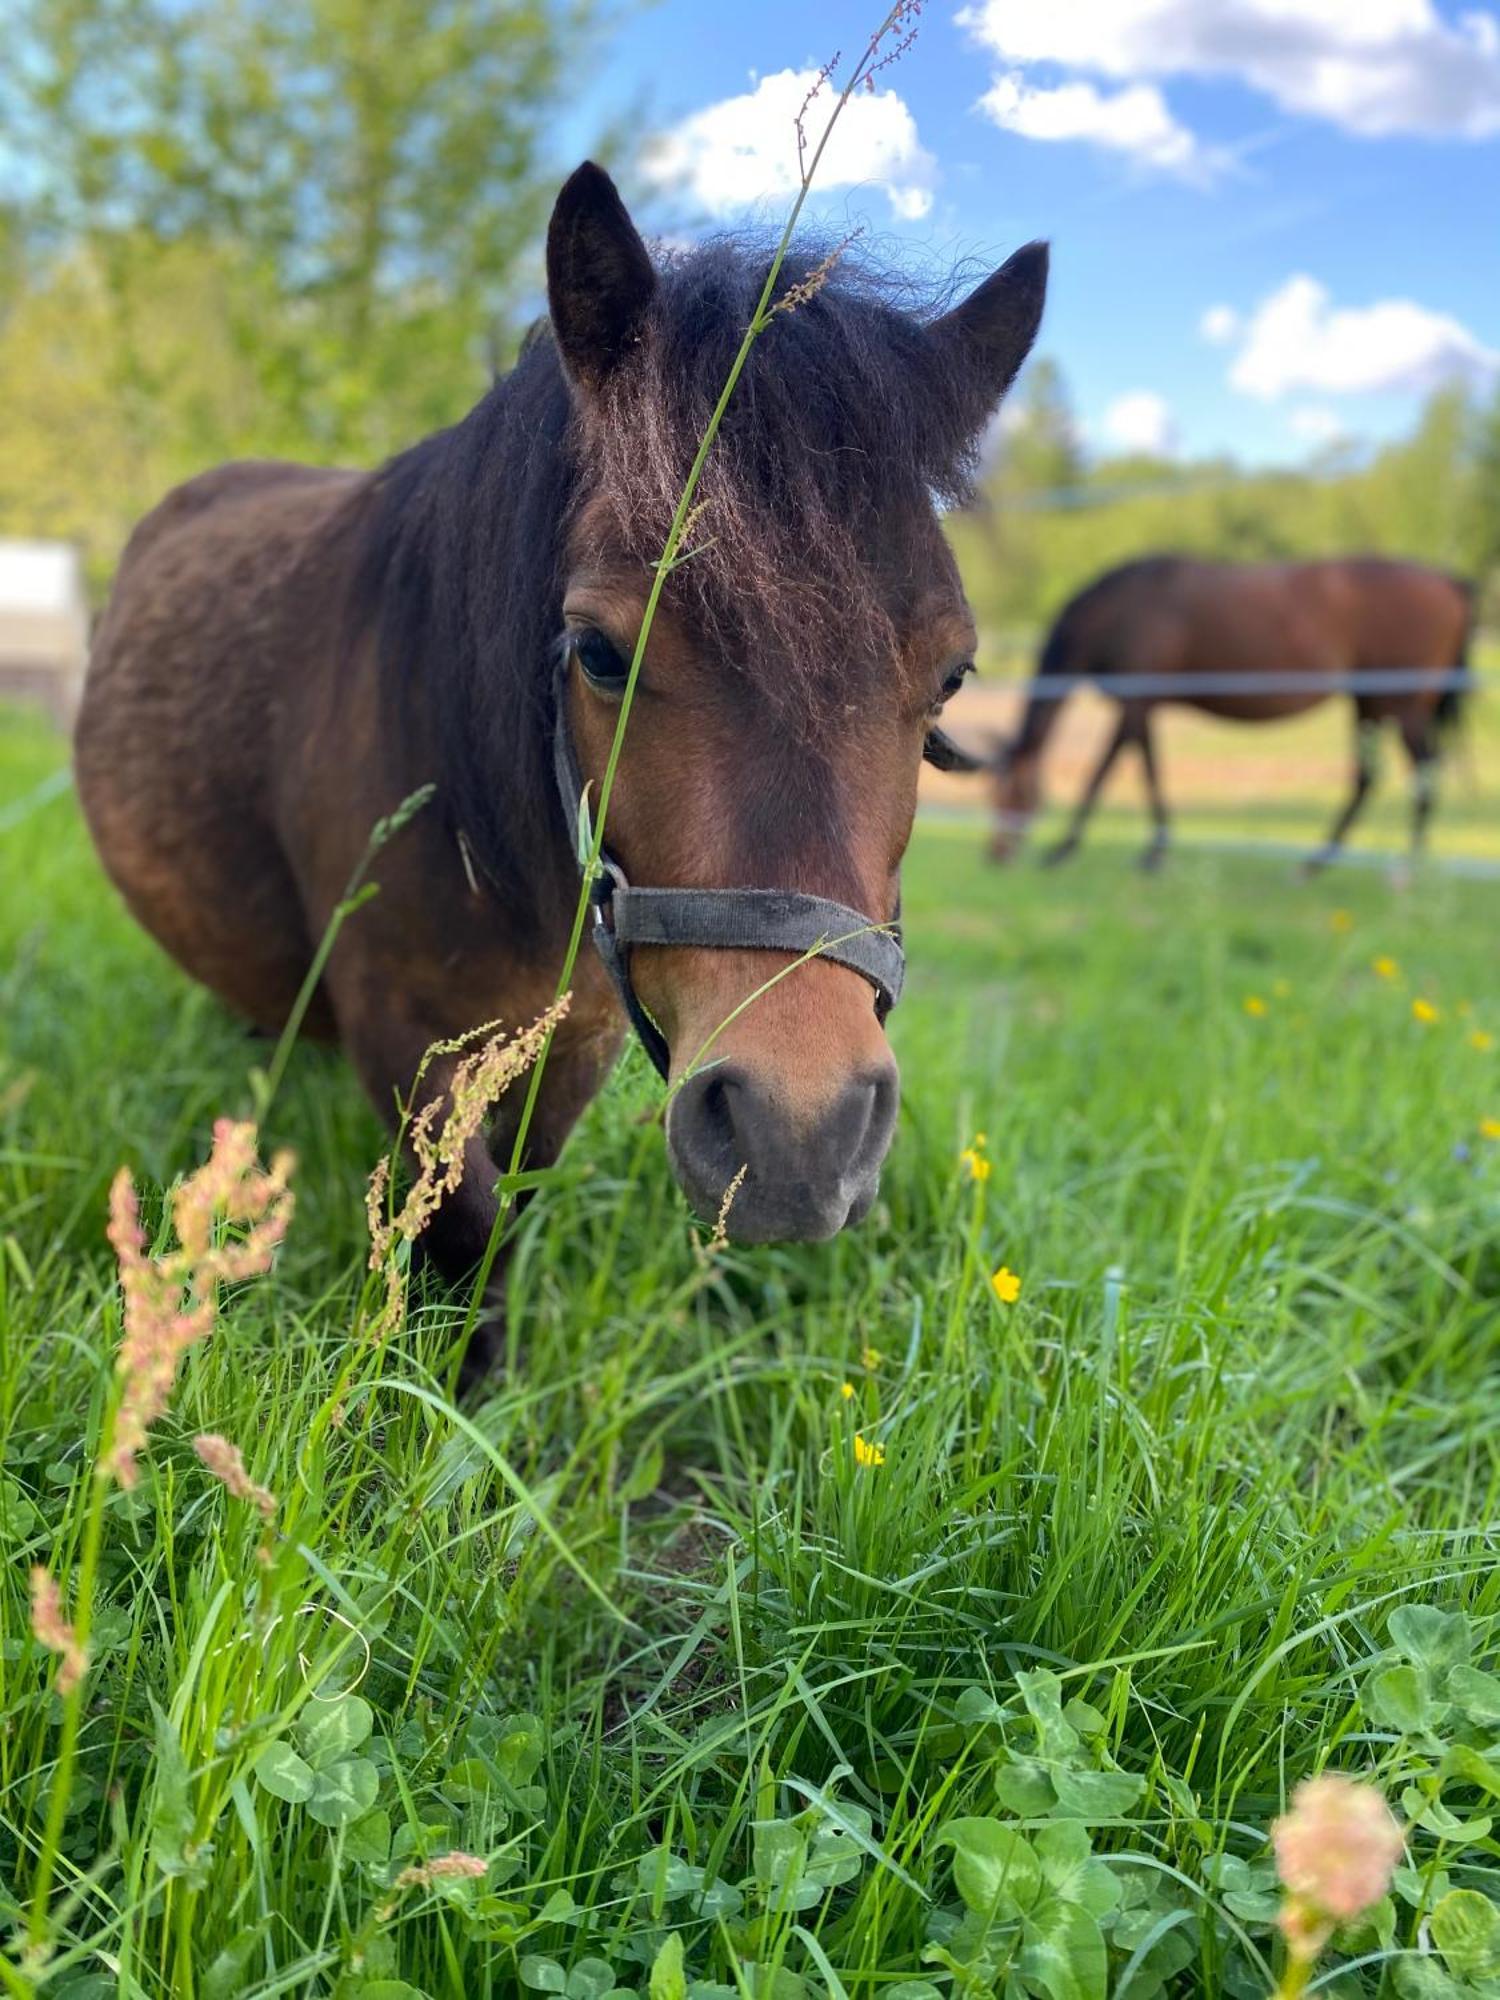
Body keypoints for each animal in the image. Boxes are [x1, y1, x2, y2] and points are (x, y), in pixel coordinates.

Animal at [76, 160, 1048, 1344]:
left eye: (951, 675)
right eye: (598, 652)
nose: (797, 1137)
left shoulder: (572, 1039)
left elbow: (514, 1205)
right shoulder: (403, 1040)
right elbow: (465, 1223)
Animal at [992, 564, 1472, 876]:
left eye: (1014, 795)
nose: (994, 854)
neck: (1121, 609)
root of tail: (1447, 581)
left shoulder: (1135, 703)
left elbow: (1108, 770)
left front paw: (1066, 849)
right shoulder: (1145, 707)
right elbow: (1146, 767)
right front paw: (1154, 850)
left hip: (1402, 704)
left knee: (1422, 774)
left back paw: (1404, 866)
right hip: (1369, 702)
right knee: (1369, 777)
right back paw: (1318, 863)